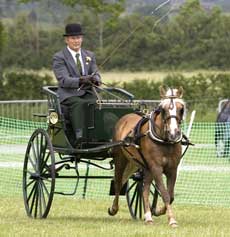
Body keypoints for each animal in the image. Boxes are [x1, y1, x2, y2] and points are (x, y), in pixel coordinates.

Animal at [108, 86, 185, 228]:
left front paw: (158, 210)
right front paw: (172, 220)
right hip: (121, 160)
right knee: (118, 182)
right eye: (163, 109)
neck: (165, 141)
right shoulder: (156, 168)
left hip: (145, 167)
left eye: (181, 109)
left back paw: (148, 216)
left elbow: (170, 195)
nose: (173, 133)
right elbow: (165, 194)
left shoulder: (172, 169)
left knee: (144, 188)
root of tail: (125, 117)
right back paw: (113, 208)